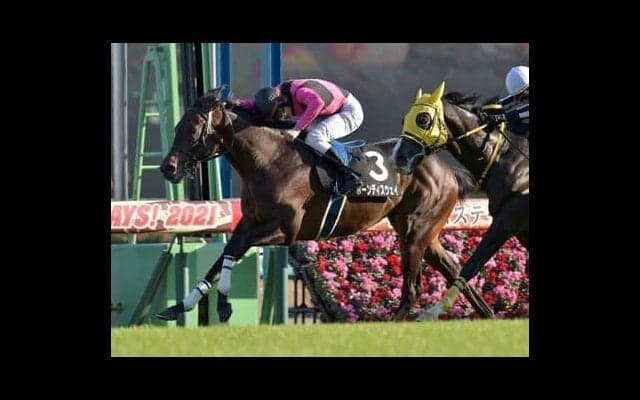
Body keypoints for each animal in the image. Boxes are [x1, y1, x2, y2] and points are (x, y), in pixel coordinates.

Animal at [156, 86, 494, 323]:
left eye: (193, 129)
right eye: (176, 127)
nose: (167, 168)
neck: (269, 160)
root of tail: (447, 170)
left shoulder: (284, 230)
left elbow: (231, 249)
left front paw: (224, 305)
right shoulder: (250, 222)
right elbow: (220, 259)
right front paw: (179, 307)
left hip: (414, 233)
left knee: (412, 290)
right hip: (425, 234)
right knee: (457, 272)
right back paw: (489, 315)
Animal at [391, 82, 529, 319]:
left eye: (423, 119)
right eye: (403, 120)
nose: (399, 158)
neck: (505, 156)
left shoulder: (507, 219)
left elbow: (472, 265)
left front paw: (430, 313)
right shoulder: (519, 227)